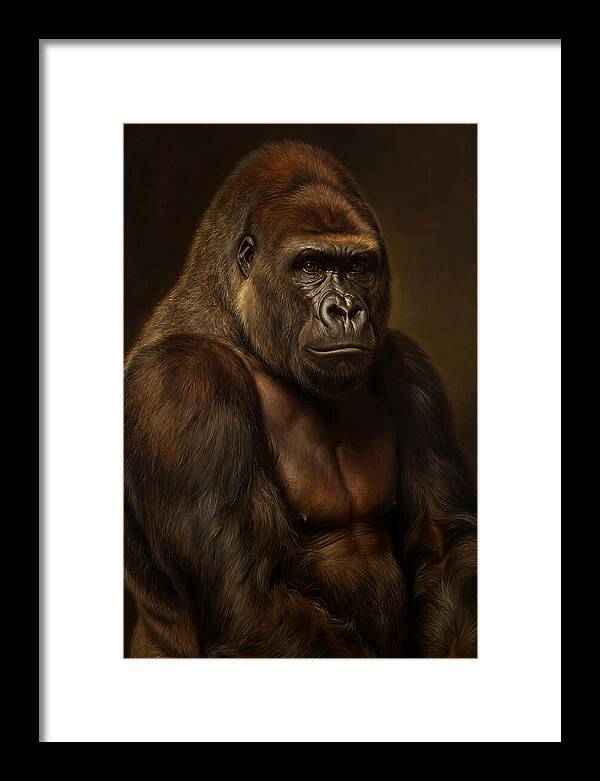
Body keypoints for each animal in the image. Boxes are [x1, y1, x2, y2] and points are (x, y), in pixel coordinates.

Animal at [124, 140, 477, 658]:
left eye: (356, 267)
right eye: (310, 265)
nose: (346, 309)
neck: (240, 326)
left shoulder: (411, 370)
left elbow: (443, 543)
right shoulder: (183, 382)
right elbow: (248, 596)